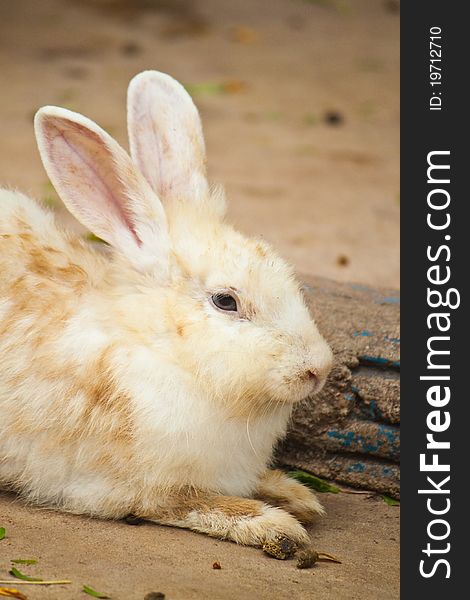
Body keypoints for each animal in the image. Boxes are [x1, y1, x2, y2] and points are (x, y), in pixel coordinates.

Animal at [0, 70, 334, 552]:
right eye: (226, 301)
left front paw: (296, 495)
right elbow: (194, 505)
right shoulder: (133, 489)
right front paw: (274, 525)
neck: (163, 352)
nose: (318, 370)